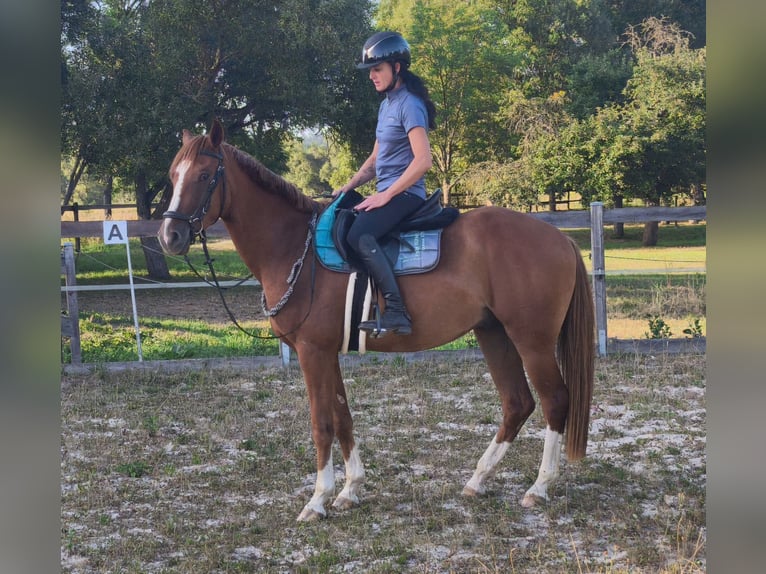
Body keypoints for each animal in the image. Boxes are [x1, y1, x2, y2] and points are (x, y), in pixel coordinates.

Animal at [158, 119, 595, 522]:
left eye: (203, 176)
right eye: (173, 176)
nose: (170, 235)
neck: (295, 248)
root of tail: (559, 238)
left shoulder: (312, 352)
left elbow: (321, 422)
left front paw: (317, 500)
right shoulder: (327, 352)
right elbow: (342, 417)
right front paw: (350, 490)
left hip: (532, 341)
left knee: (555, 400)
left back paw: (539, 487)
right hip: (494, 334)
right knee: (517, 403)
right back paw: (478, 479)